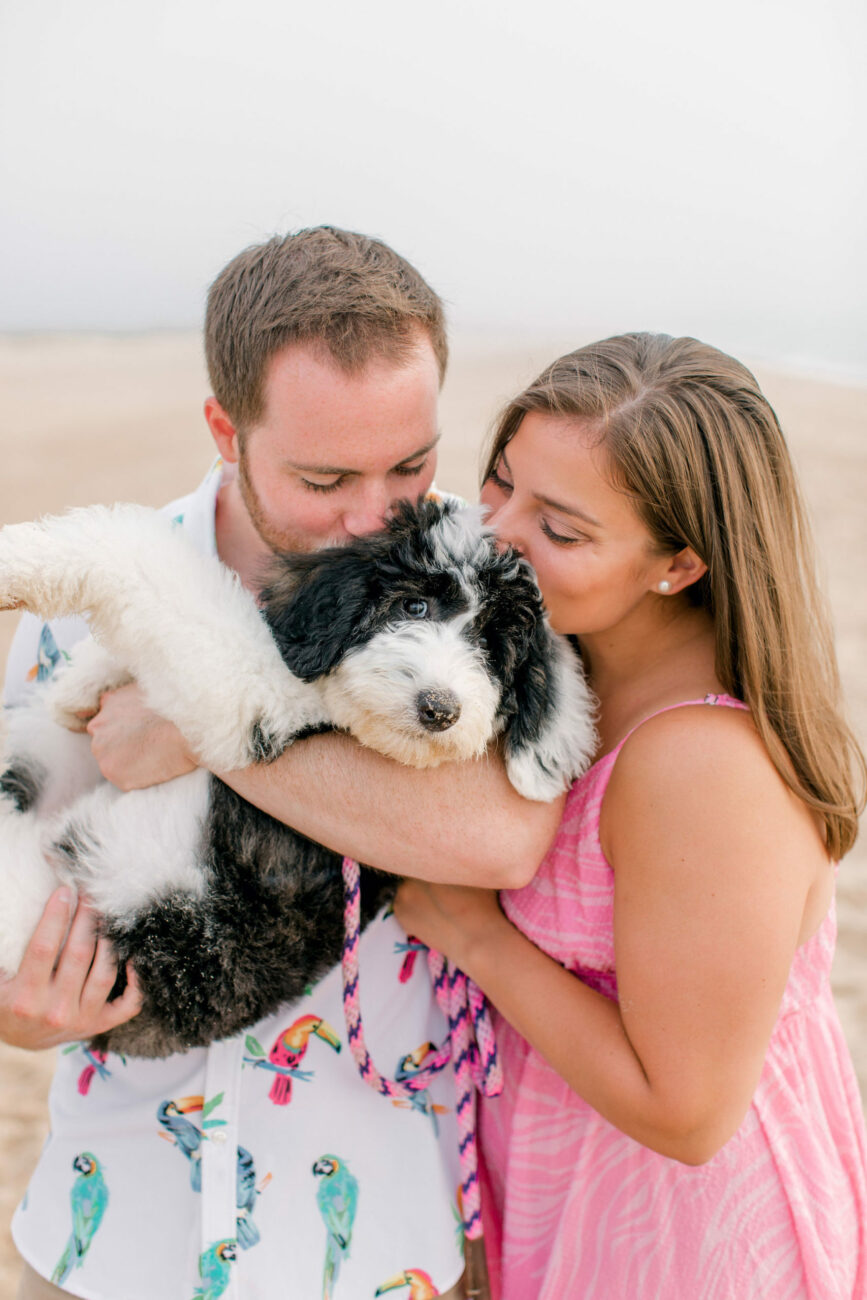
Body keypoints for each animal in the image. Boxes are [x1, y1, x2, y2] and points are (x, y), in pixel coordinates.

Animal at [0, 496, 597, 1055]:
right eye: (414, 604)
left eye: (494, 650)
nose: (440, 709)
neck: (339, 715)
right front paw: (78, 685)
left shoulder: (249, 699)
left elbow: (149, 561)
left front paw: (20, 561)